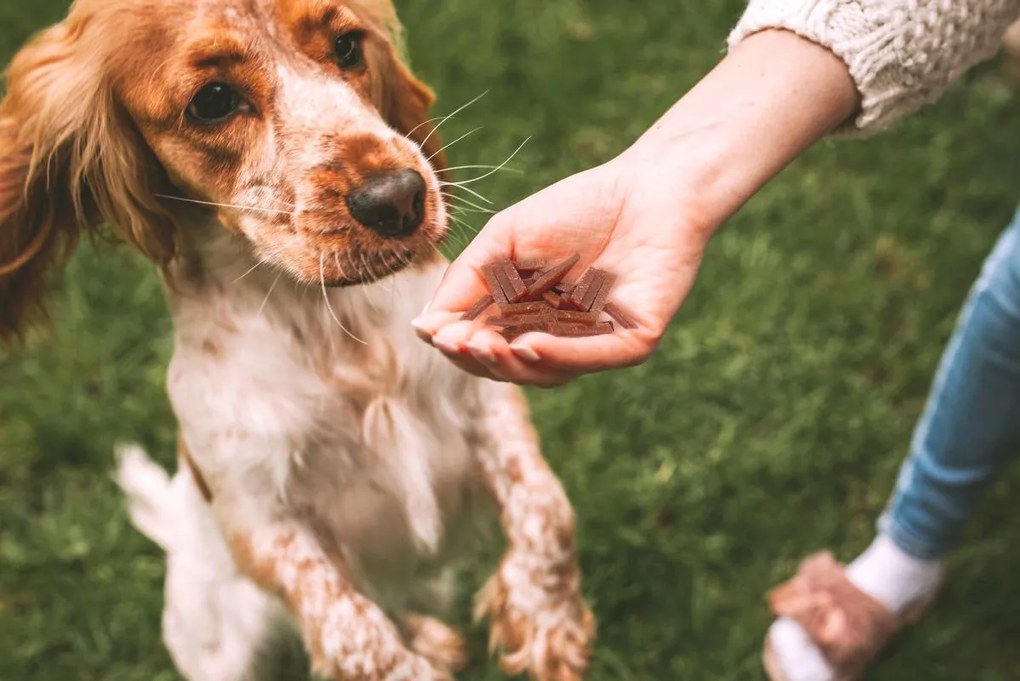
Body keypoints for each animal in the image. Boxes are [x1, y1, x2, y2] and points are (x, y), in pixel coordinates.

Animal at [0, 1, 595, 681]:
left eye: (347, 46)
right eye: (212, 101)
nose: (400, 198)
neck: (329, 322)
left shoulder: (484, 403)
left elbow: (546, 507)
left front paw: (545, 622)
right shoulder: (263, 518)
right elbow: (352, 630)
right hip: (223, 647)